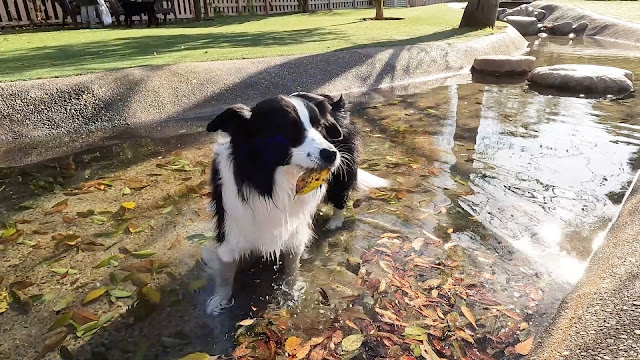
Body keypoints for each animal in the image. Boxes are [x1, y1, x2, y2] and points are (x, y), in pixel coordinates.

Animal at [202, 93, 388, 316]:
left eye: (321, 127)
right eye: (290, 130)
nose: (332, 153)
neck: (271, 184)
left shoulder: (294, 230)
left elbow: (291, 266)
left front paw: (291, 293)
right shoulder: (231, 228)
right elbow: (226, 270)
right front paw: (220, 300)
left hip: (342, 174)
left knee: (340, 199)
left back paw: (335, 221)